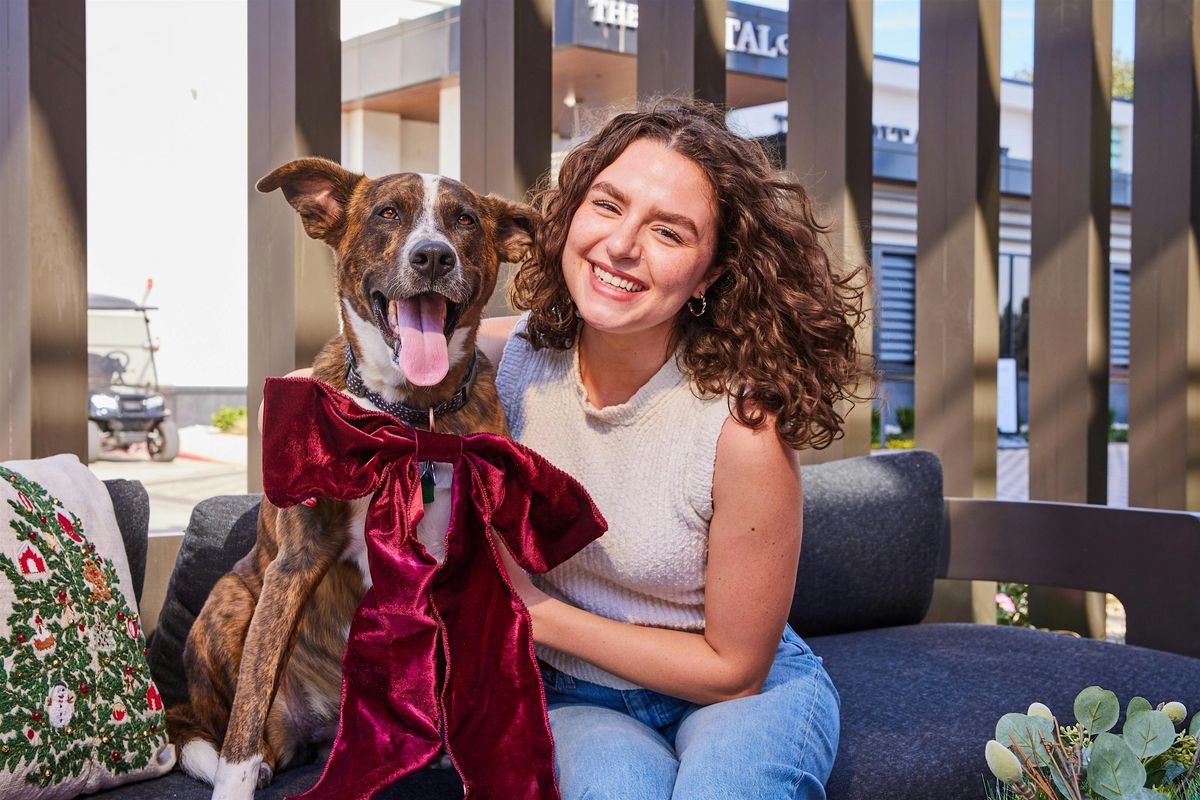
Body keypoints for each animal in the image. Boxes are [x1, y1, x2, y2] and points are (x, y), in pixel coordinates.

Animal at [165, 158, 535, 800]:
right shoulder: (295, 564)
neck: (410, 416)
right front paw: (234, 780)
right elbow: (246, 711)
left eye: (464, 220)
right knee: (210, 723)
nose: (433, 257)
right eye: (388, 213)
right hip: (230, 599)